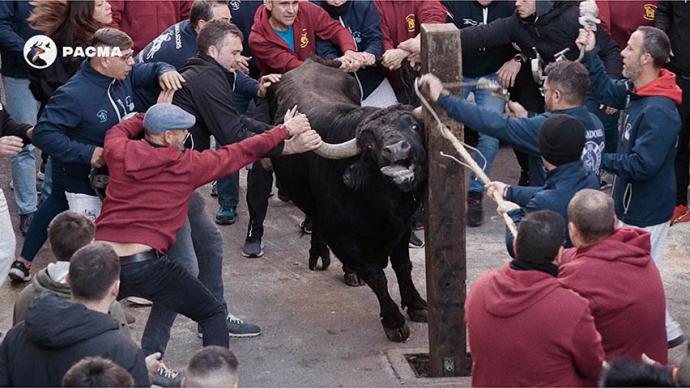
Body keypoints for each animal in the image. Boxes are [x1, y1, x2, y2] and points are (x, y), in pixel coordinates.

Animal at [268, 58, 424, 342]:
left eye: (414, 126)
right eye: (371, 145)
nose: (396, 149)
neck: (379, 207)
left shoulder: (402, 228)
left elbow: (403, 266)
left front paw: (417, 305)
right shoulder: (340, 237)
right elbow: (376, 276)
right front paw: (394, 322)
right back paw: (320, 257)